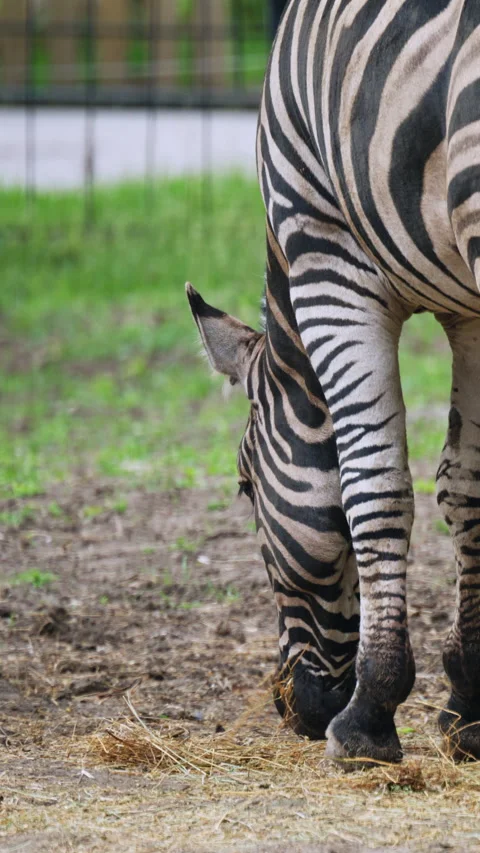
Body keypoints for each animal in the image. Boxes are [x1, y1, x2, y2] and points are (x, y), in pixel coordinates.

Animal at [186, 0, 480, 765]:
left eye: (244, 487)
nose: (292, 707)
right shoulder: (470, 313)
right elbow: (465, 486)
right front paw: (469, 702)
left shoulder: (327, 257)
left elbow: (372, 488)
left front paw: (369, 713)